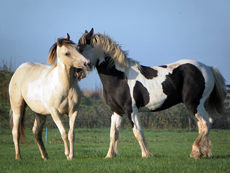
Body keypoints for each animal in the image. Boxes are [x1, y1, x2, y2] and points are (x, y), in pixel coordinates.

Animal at [78, 28, 227, 159]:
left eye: (80, 49)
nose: (77, 72)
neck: (120, 77)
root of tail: (208, 68)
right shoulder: (116, 111)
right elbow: (113, 133)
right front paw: (109, 155)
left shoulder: (131, 110)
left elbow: (138, 132)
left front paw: (146, 155)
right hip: (197, 106)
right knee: (202, 126)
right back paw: (202, 153)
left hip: (194, 104)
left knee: (207, 123)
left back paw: (195, 152)